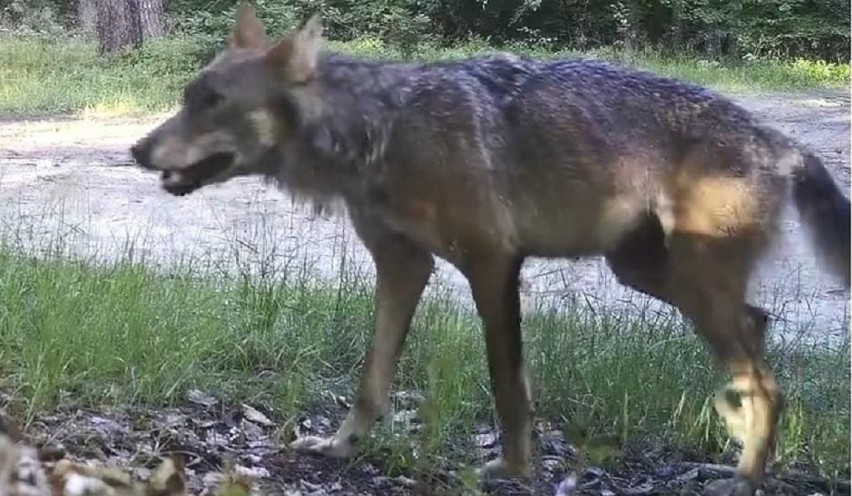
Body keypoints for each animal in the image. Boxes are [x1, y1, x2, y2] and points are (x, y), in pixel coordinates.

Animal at [130, 2, 848, 492]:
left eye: (212, 101)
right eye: (187, 97)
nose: (136, 150)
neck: (382, 130)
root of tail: (780, 140)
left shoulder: (492, 264)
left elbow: (508, 386)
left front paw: (514, 468)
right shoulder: (403, 266)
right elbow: (371, 378)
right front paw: (341, 448)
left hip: (687, 282)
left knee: (768, 380)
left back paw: (744, 478)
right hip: (647, 272)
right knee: (759, 332)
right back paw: (740, 448)